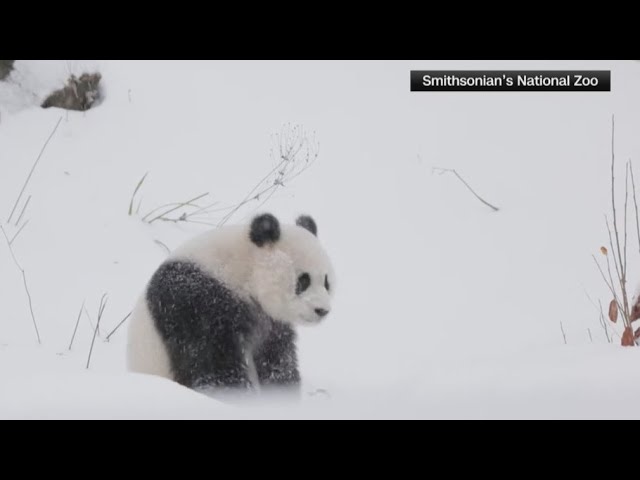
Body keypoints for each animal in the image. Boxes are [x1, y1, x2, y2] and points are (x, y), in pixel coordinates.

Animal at [125, 212, 336, 396]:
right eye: (303, 281)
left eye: (326, 282)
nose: (322, 310)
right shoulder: (195, 302)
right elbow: (213, 365)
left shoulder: (269, 321)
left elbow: (276, 360)